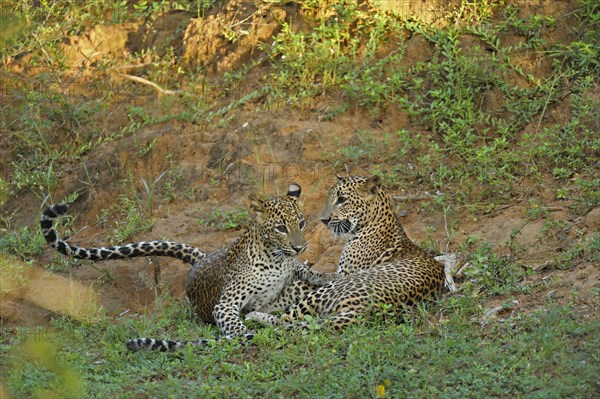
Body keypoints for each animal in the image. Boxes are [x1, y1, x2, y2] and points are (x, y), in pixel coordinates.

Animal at [41, 184, 328, 350]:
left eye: (301, 223)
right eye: (281, 228)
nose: (300, 247)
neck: (277, 259)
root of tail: (201, 258)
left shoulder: (293, 269)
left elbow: (306, 271)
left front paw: (323, 275)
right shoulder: (225, 305)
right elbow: (235, 325)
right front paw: (245, 334)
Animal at [244, 175, 446, 332]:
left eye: (342, 200)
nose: (323, 220)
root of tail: (364, 312)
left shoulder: (341, 275)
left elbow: (305, 280)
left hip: (330, 290)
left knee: (285, 321)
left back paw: (254, 315)